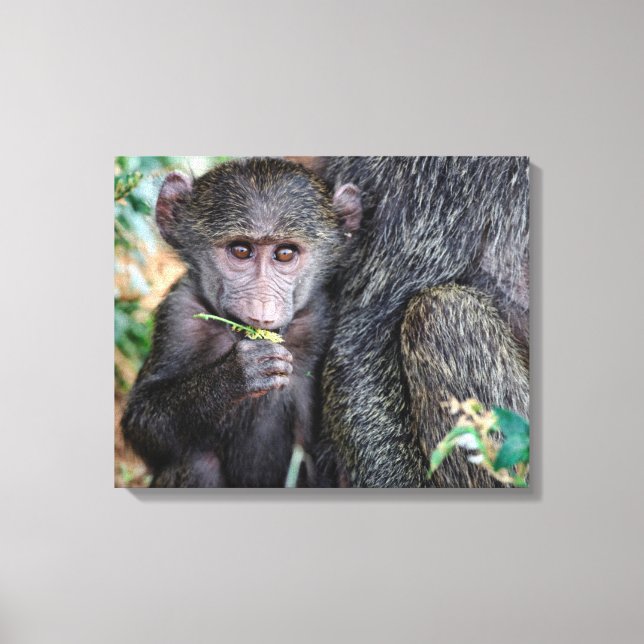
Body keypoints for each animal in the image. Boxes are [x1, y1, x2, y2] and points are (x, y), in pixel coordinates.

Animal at [121, 158, 361, 487]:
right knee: (198, 461)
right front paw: (236, 374)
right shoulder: (178, 315)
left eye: (284, 253)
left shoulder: (320, 319)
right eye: (241, 250)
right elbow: (142, 424)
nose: (262, 310)